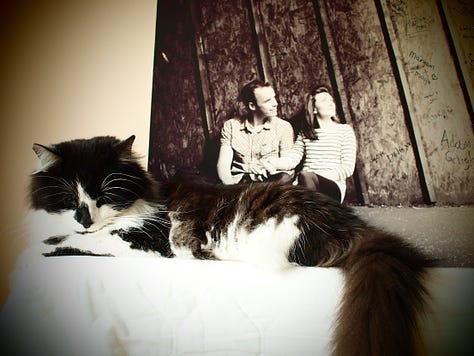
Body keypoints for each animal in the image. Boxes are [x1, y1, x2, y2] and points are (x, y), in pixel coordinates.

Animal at [24, 136, 436, 356]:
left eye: (104, 195)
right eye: (68, 197)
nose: (85, 218)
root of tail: (354, 224)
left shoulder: (148, 240)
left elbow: (89, 243)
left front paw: (46, 248)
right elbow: (71, 238)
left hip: (275, 232)